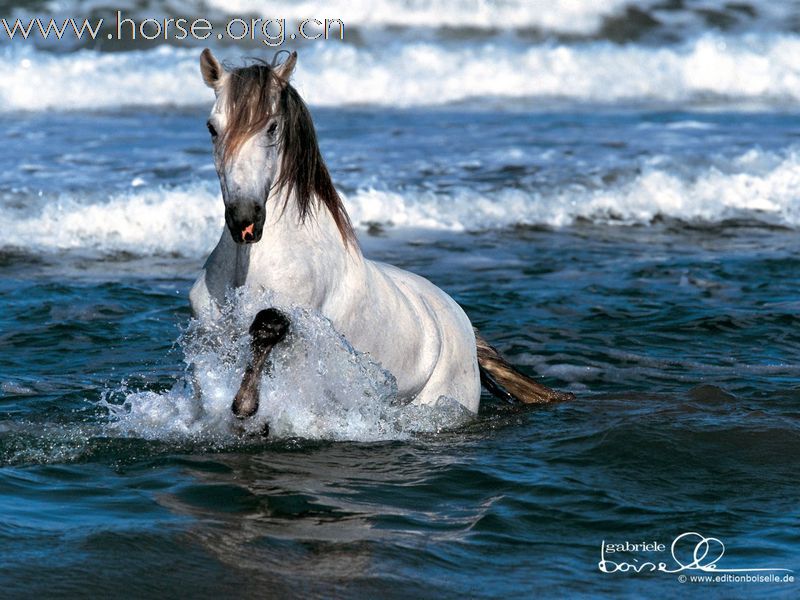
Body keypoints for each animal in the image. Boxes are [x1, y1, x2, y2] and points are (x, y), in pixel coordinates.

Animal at [188, 50, 568, 418]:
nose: (245, 220)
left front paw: (245, 405)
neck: (249, 265)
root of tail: (464, 325)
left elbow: (268, 326)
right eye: (211, 127)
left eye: (272, 127)